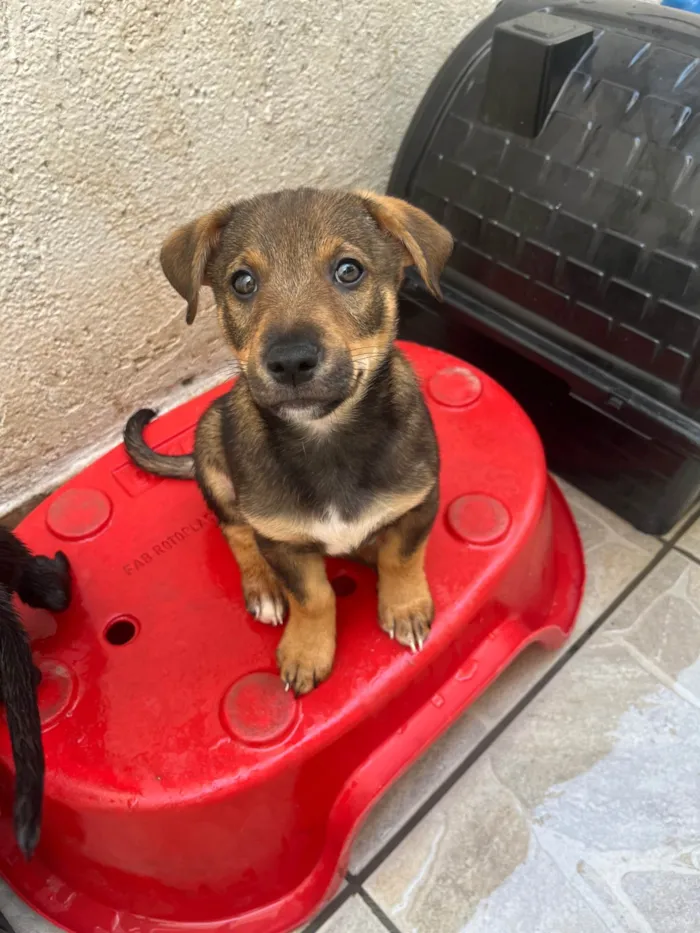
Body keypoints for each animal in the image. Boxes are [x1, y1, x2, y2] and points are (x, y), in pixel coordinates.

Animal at [126, 187, 454, 692]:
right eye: (242, 282)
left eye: (348, 270)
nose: (291, 361)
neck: (327, 439)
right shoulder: (281, 541)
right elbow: (313, 597)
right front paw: (306, 652)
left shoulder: (419, 501)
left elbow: (401, 558)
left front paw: (404, 610)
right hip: (212, 445)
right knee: (236, 531)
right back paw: (262, 586)